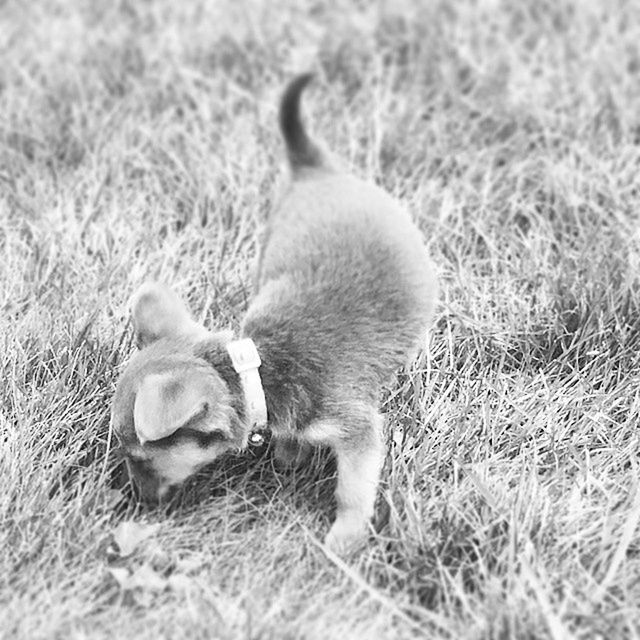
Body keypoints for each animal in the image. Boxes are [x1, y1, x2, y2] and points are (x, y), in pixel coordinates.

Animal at [111, 75, 440, 552]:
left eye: (139, 458)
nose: (138, 501)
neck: (260, 372)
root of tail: (317, 169)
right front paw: (290, 453)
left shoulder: (359, 437)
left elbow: (352, 491)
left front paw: (344, 539)